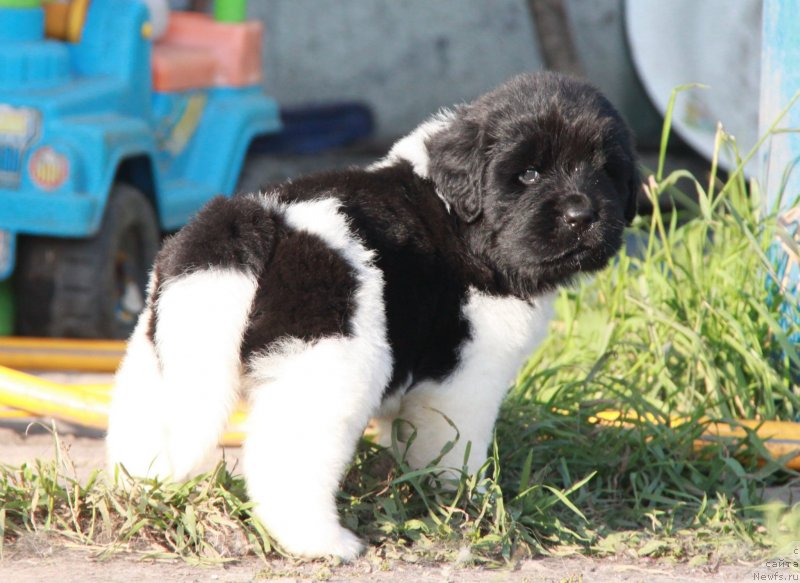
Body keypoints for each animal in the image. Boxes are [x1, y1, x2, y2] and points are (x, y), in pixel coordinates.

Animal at [108, 73, 636, 560]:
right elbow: (457, 447)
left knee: (145, 421)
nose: (582, 214)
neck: (456, 214)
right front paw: (472, 501)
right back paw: (322, 543)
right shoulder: (464, 376)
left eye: (605, 172)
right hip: (329, 369)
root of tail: (252, 221)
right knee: (285, 462)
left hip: (164, 344)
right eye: (528, 174)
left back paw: (137, 493)